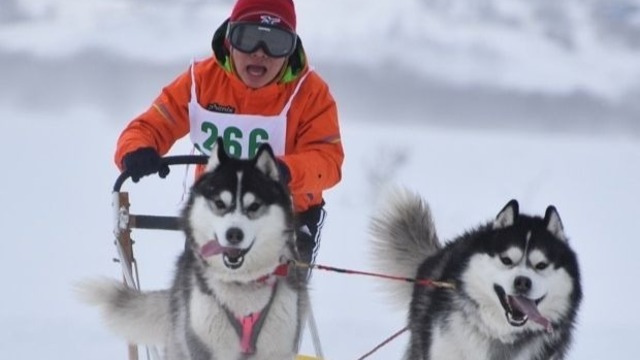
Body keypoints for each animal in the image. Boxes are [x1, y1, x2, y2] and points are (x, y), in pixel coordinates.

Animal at [79, 139, 308, 358]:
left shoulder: (278, 348)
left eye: (254, 206)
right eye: (219, 203)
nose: (234, 234)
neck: (242, 284)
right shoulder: (203, 346)